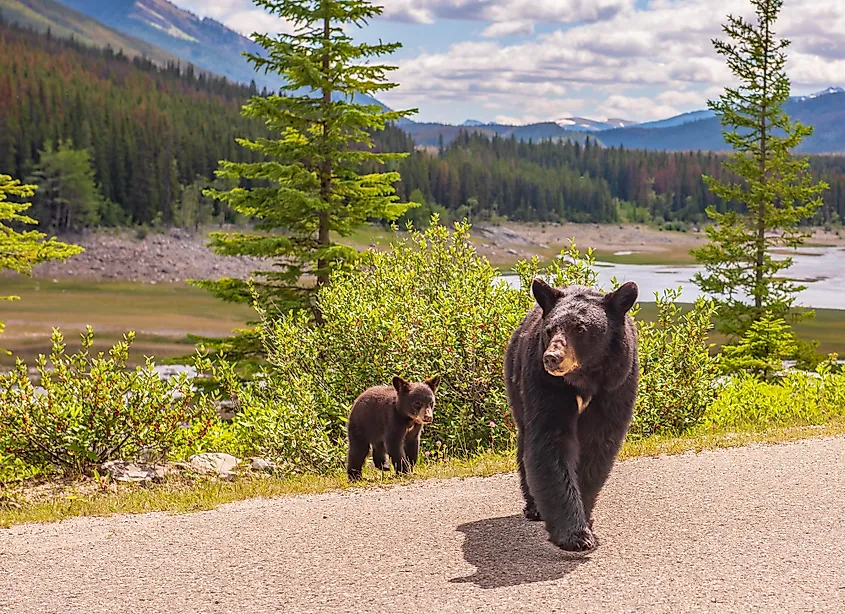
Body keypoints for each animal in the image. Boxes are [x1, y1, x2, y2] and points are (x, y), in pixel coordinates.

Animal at [504, 280, 636, 552]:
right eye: (550, 329)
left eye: (580, 328)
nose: (552, 358)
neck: (583, 378)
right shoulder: (546, 384)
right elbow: (551, 442)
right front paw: (574, 534)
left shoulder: (616, 385)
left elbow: (597, 446)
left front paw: (585, 518)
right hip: (515, 375)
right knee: (524, 438)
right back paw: (533, 507)